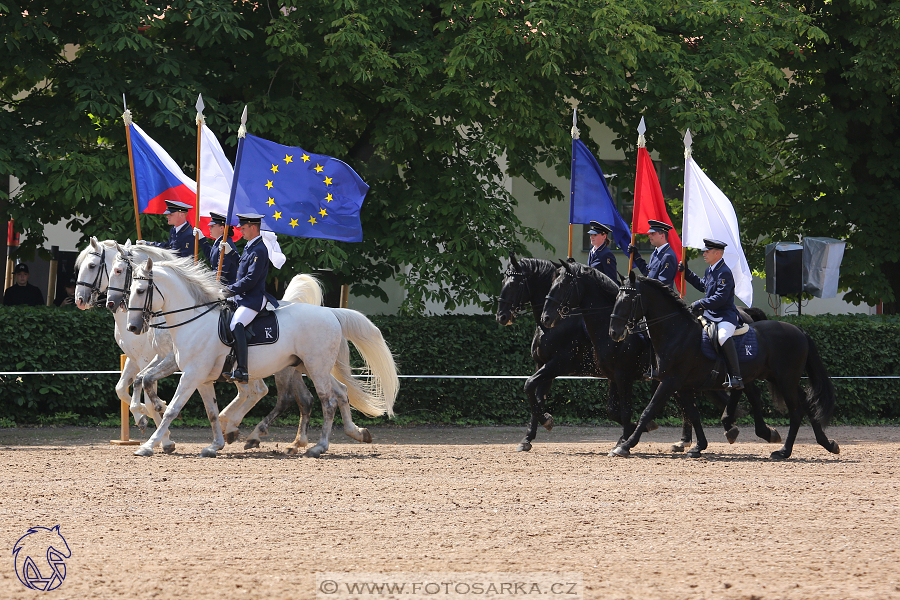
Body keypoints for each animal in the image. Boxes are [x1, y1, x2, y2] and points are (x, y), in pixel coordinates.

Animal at [124, 255, 398, 458]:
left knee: (325, 401)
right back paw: (355, 433)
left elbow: (173, 409)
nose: (133, 327)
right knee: (340, 391)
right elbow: (211, 412)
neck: (193, 320)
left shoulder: (191, 375)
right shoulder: (202, 378)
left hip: (314, 367)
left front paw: (148, 445)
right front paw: (215, 445)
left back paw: (317, 447)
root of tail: (331, 313)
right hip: (308, 367)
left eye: (141, 290)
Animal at [496, 252, 656, 450]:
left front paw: (545, 420)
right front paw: (528, 437)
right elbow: (536, 397)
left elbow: (529, 385)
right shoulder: (542, 365)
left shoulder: (558, 365)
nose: (501, 316)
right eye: (503, 281)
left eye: (514, 284)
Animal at [600, 270, 840, 460]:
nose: (614, 332)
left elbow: (648, 412)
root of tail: (798, 330)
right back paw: (827, 444)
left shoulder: (670, 381)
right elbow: (693, 414)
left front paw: (624, 446)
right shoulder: (682, 385)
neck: (677, 332)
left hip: (785, 380)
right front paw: (698, 447)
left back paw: (783, 451)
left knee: (796, 411)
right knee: (806, 404)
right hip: (780, 379)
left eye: (629, 299)